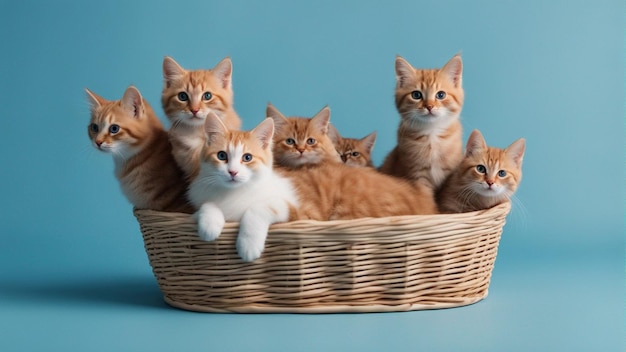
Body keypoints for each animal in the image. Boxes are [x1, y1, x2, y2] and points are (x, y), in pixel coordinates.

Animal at [188, 113, 436, 262]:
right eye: (222, 156)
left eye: (247, 157)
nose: (232, 172)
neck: (235, 194)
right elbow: (207, 205)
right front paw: (209, 225)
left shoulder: (300, 210)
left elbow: (258, 209)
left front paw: (248, 245)